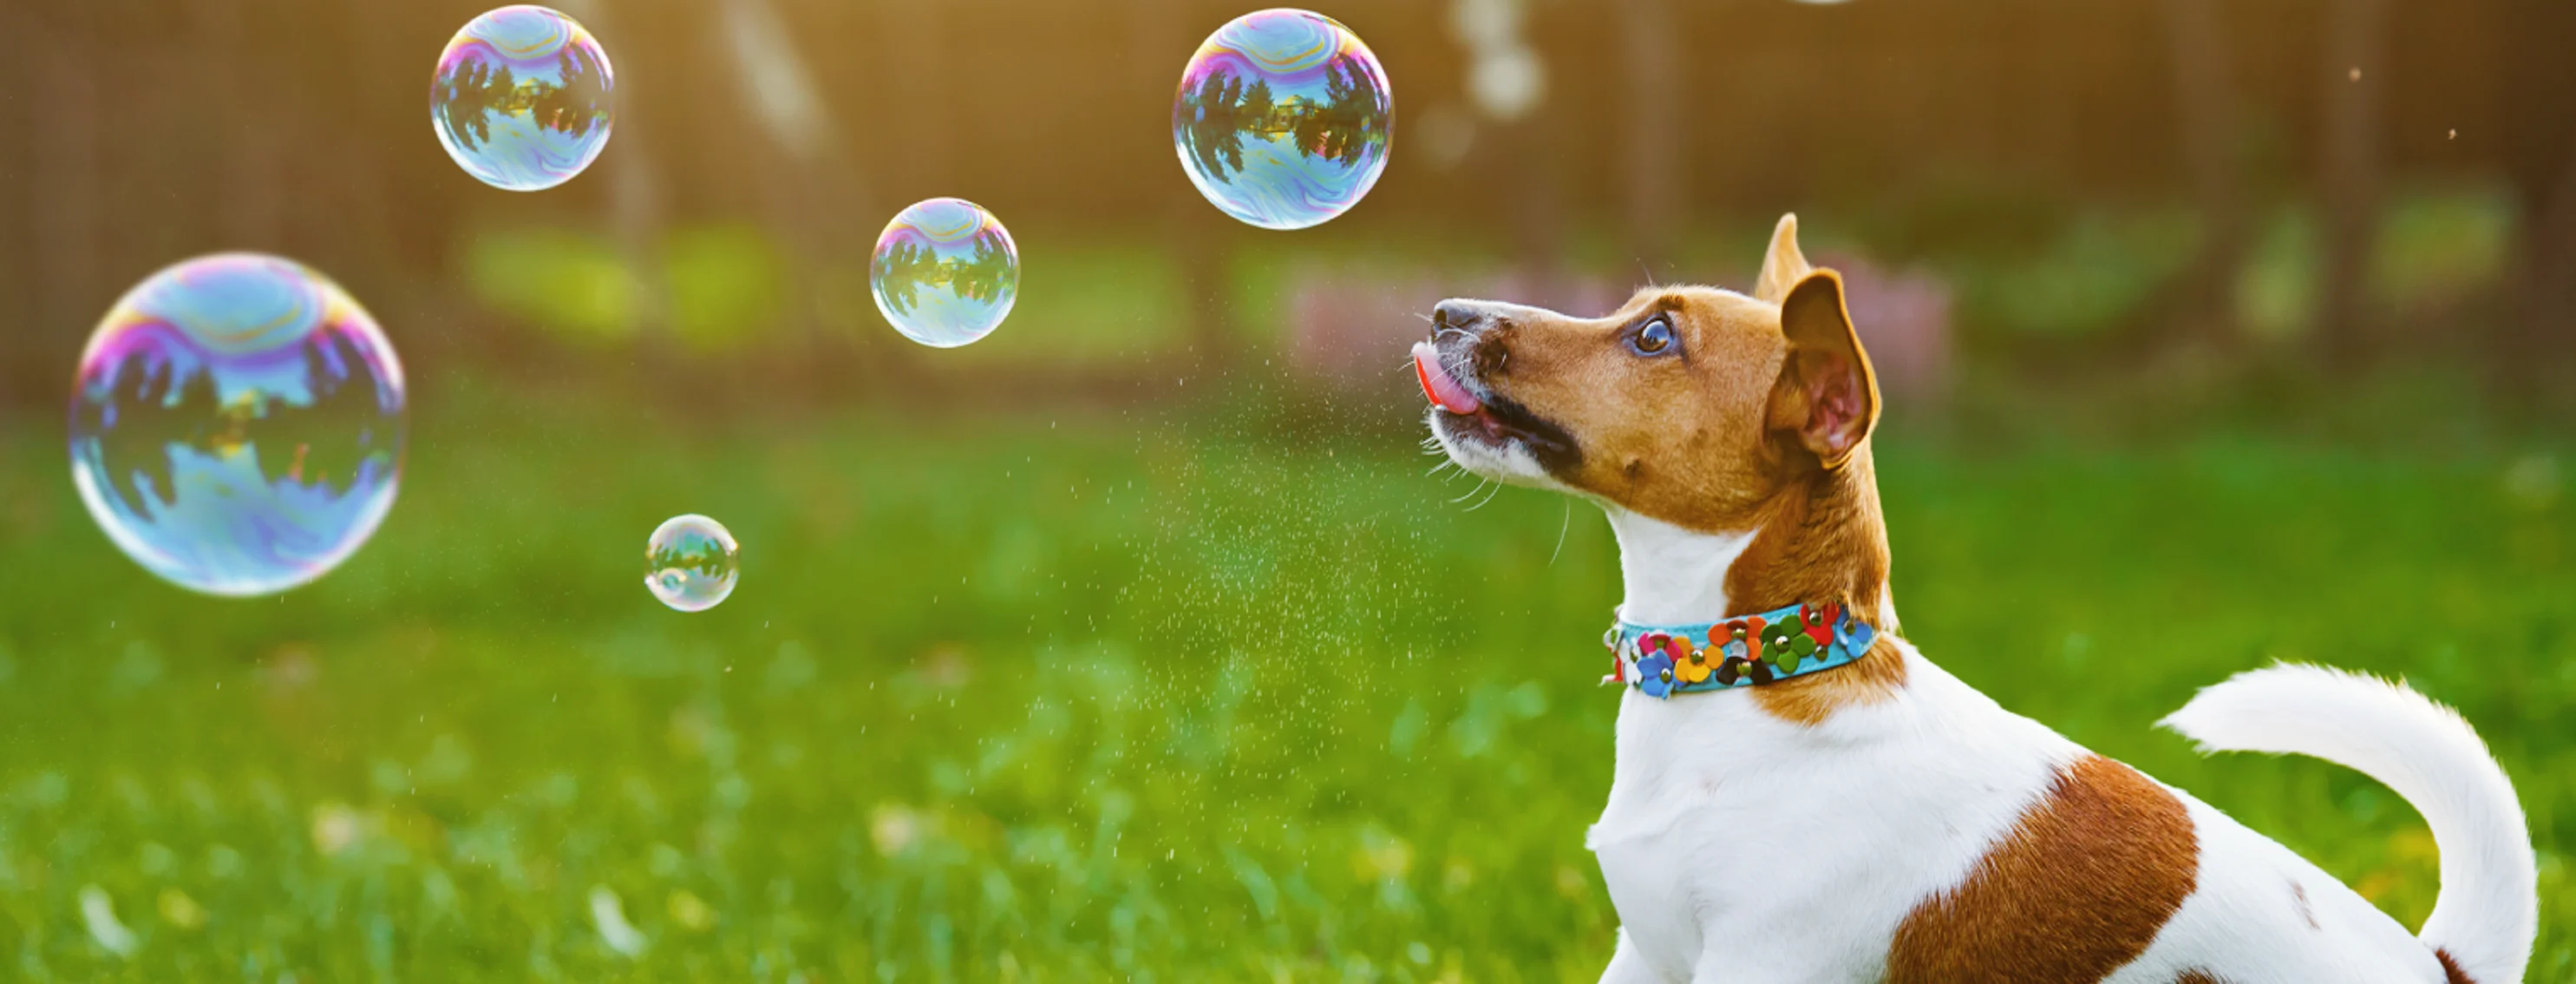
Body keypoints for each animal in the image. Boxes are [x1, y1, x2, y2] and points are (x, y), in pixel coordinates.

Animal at [1411, 217, 2534, 984]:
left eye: (1651, 339)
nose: (1445, 314)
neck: (1753, 670)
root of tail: (2441, 965)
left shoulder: (1762, 964)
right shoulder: (1645, 959)